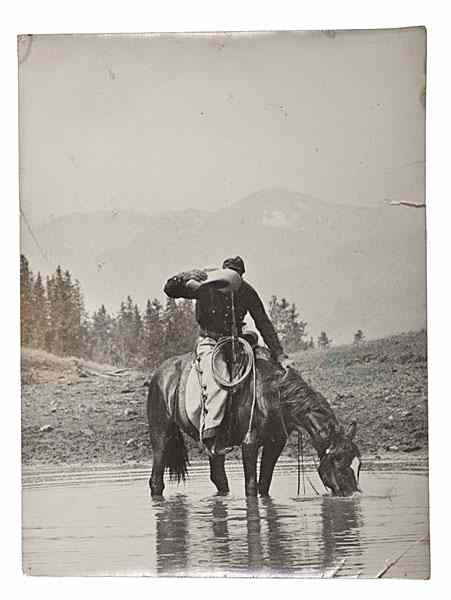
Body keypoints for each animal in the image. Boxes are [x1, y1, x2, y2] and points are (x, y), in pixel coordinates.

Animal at [147, 346, 362, 496]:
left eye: (358, 465)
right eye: (338, 462)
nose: (353, 494)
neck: (272, 395)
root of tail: (159, 374)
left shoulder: (275, 444)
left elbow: (264, 484)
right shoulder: (249, 445)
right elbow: (251, 486)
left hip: (215, 446)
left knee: (218, 477)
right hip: (161, 436)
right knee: (156, 480)